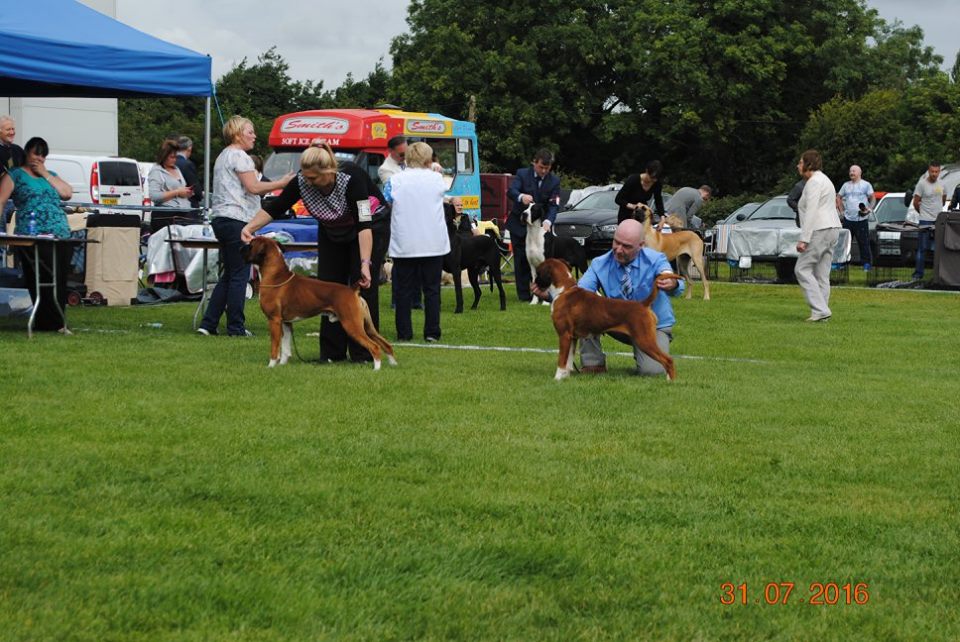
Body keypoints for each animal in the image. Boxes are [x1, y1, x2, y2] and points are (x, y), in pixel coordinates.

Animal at [241, 236, 397, 370]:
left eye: (251, 245)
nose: (240, 247)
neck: (276, 276)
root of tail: (353, 289)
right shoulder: (285, 322)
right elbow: (285, 347)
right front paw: (282, 365)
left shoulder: (274, 320)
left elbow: (275, 346)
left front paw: (271, 365)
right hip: (367, 326)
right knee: (385, 344)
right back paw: (393, 364)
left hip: (352, 325)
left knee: (374, 346)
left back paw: (376, 369)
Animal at [534, 258, 683, 381]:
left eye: (538, 272)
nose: (534, 282)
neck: (564, 290)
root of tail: (642, 304)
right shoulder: (572, 337)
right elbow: (568, 360)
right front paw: (565, 376)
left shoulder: (564, 335)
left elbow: (561, 360)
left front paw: (557, 378)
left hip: (644, 340)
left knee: (668, 360)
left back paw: (670, 381)